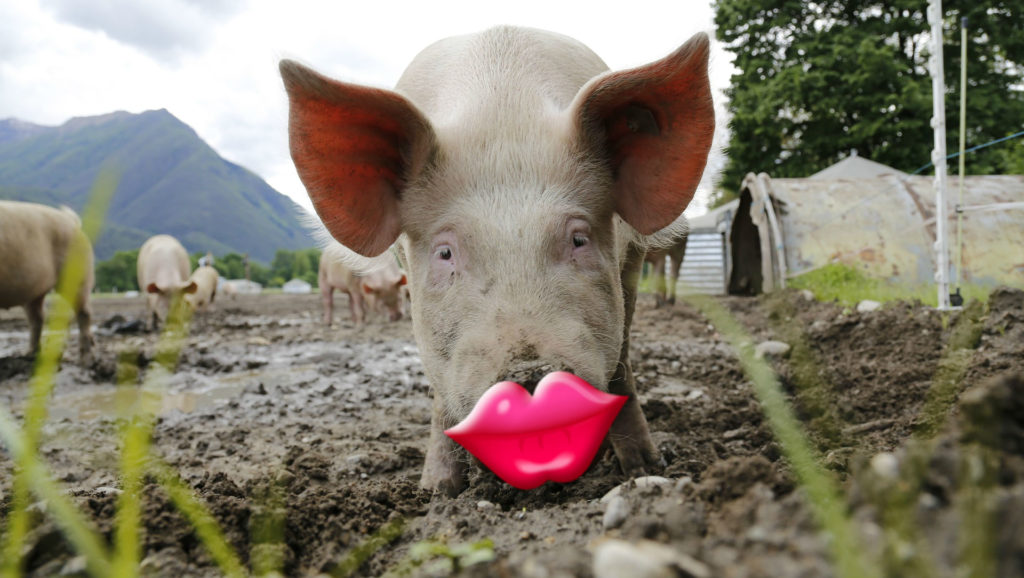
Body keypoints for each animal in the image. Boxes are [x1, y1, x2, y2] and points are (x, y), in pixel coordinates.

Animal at [0, 201, 95, 364]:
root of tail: (71, 220)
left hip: (78, 274)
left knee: (84, 313)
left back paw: (86, 360)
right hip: (34, 292)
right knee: (37, 318)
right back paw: (29, 354)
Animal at [281, 25, 714, 495]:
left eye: (579, 238)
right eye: (445, 252)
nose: (529, 376)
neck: (503, 117)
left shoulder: (630, 257)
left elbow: (621, 366)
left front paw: (644, 470)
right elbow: (441, 392)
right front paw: (437, 491)